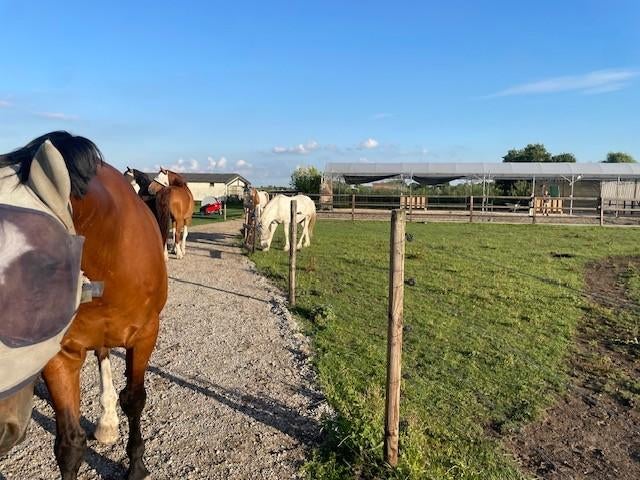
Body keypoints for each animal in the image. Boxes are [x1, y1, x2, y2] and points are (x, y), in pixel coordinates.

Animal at [0, 132, 167, 480]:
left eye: (42, 265)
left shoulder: (145, 335)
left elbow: (134, 400)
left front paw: (136, 465)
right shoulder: (60, 353)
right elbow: (69, 445)